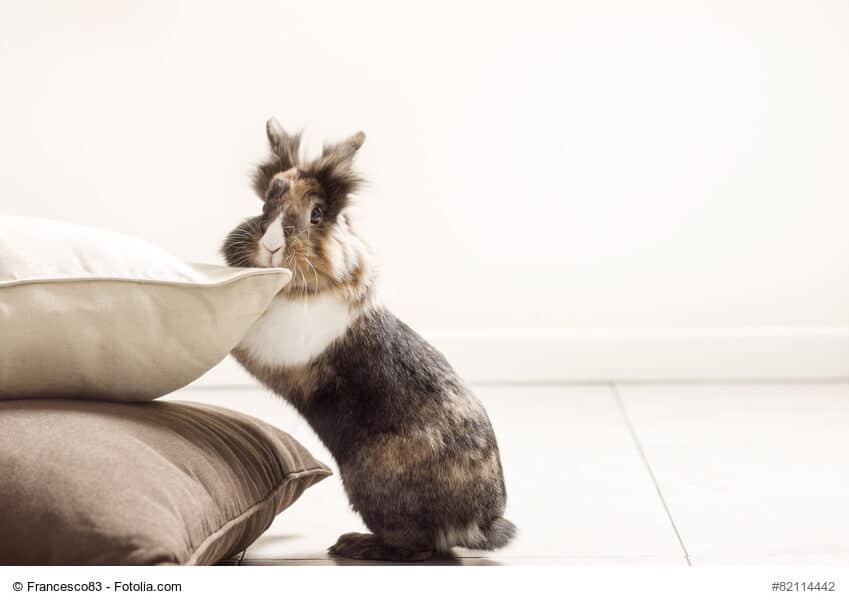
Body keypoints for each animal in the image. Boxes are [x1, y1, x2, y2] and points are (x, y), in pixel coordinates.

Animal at [221, 117, 515, 561]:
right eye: (265, 206)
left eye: (317, 214)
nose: (271, 246)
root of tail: (480, 523)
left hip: (375, 489)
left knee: (422, 549)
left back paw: (354, 545)